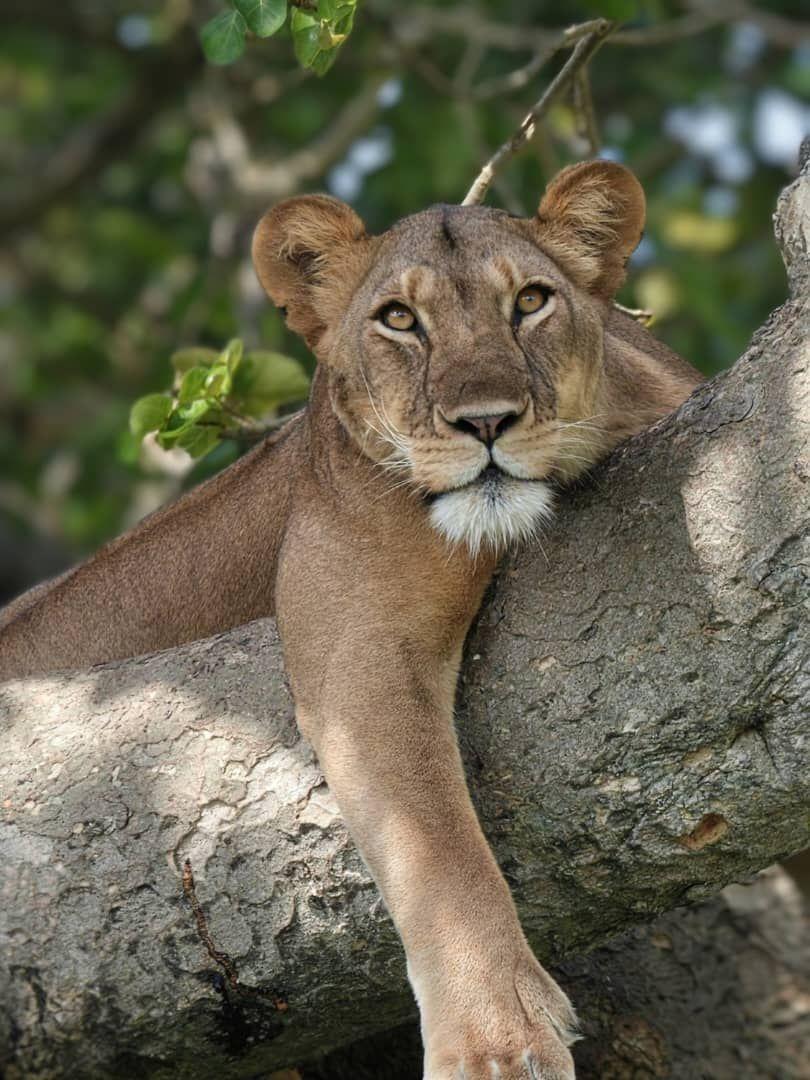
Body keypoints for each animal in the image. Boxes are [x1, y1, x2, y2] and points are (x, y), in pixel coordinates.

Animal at [0, 161, 701, 1078]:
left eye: (531, 302)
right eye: (399, 320)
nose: (485, 421)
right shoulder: (362, 644)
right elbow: (434, 842)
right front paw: (494, 1040)